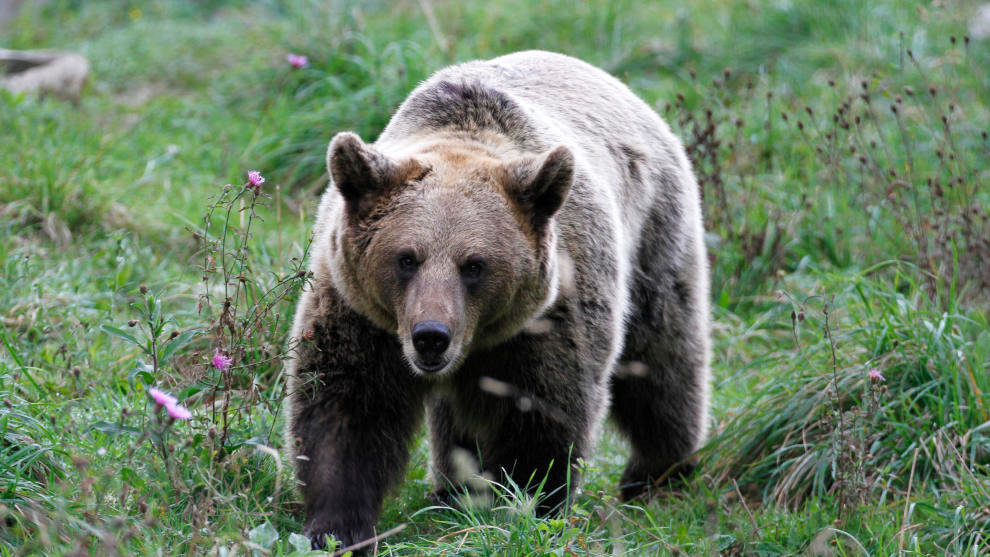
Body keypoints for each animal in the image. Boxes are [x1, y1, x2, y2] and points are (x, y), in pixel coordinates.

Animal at [286, 48, 712, 548]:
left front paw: (524, 506)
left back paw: (658, 473)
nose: (431, 336)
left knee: (662, 361)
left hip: (655, 238)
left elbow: (543, 412)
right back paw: (451, 489)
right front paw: (335, 527)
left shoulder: (550, 314)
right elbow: (346, 407)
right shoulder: (359, 311)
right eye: (406, 258)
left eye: (474, 264)